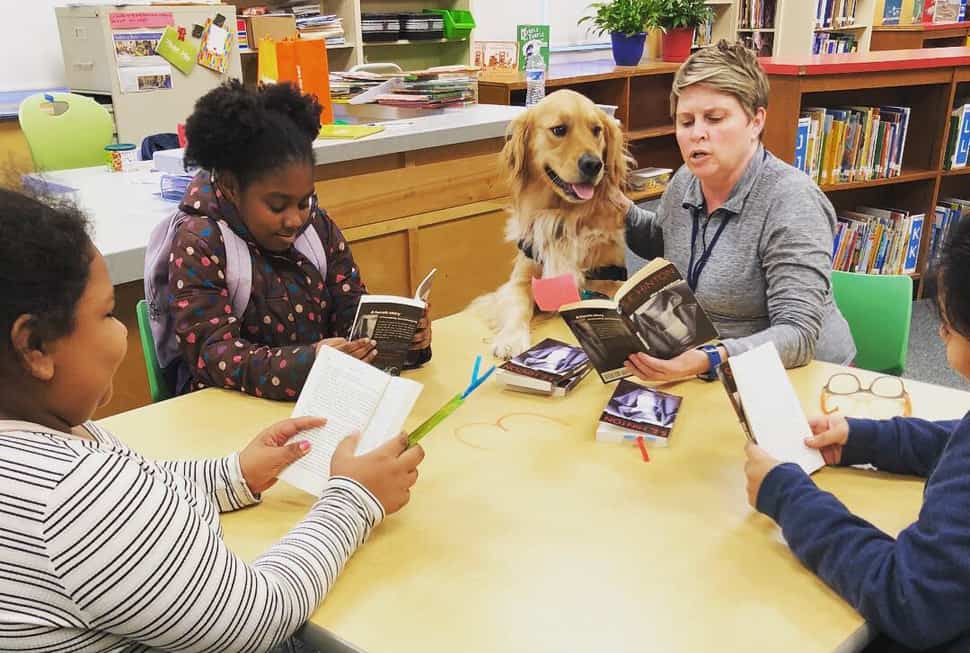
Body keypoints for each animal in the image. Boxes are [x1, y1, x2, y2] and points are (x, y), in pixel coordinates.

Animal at [474, 88, 628, 356]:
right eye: (559, 130)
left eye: (596, 130)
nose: (593, 164)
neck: (563, 215)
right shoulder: (521, 279)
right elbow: (517, 305)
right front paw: (511, 339)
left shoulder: (609, 278)